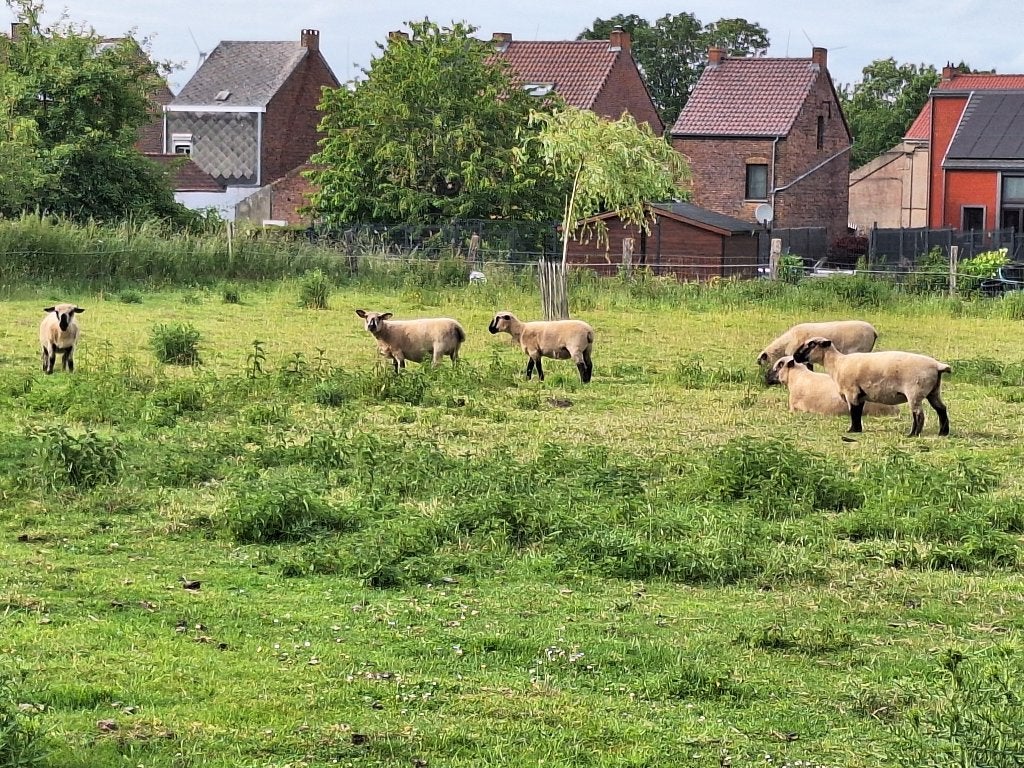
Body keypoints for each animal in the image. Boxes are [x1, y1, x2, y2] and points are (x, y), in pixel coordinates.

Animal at [792, 337, 951, 437]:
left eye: (811, 344)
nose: (795, 356)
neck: (837, 364)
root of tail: (937, 366)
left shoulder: (852, 392)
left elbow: (854, 412)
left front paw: (852, 430)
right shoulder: (860, 395)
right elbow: (858, 411)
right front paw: (857, 430)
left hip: (915, 391)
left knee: (918, 414)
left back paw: (912, 434)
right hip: (933, 391)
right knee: (941, 409)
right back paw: (943, 432)